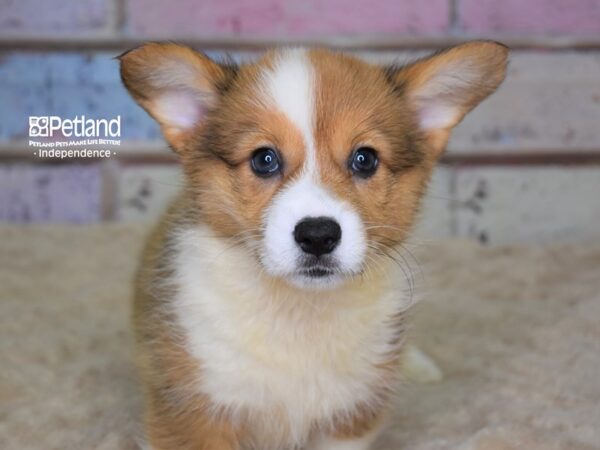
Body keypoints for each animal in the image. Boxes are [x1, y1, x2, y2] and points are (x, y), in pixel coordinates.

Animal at [120, 40, 506, 448]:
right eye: (264, 159)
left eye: (365, 159)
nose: (318, 235)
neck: (300, 313)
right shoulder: (193, 414)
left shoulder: (347, 420)